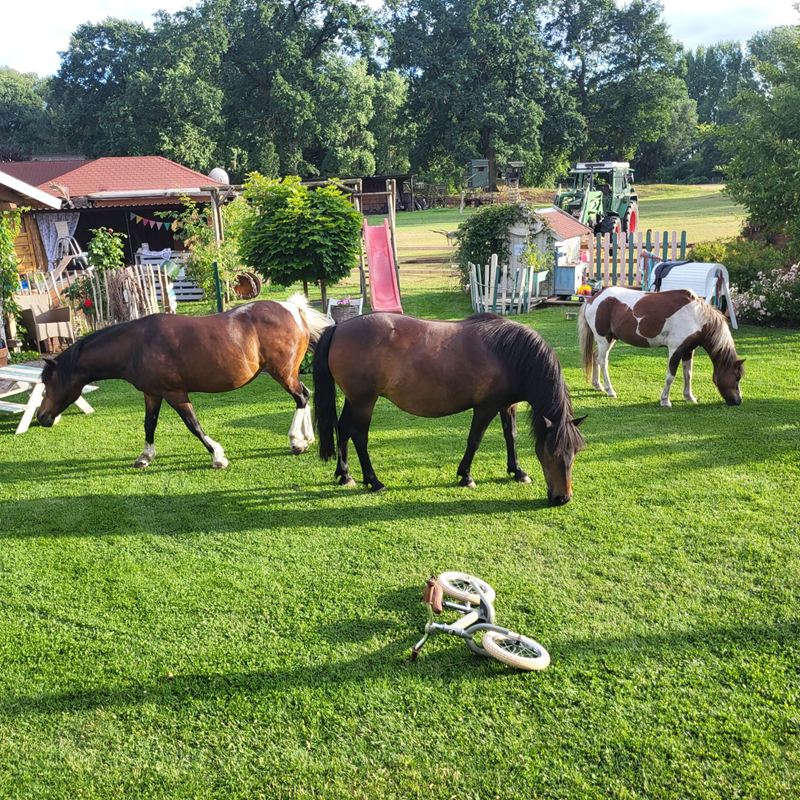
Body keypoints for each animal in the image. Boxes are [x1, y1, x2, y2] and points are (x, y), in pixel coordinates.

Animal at [36, 294, 331, 468]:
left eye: (49, 382)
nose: (41, 416)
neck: (137, 345)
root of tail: (293, 309)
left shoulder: (175, 393)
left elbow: (194, 425)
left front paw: (217, 456)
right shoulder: (153, 393)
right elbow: (149, 424)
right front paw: (145, 457)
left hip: (283, 373)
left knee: (301, 397)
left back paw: (296, 441)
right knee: (305, 396)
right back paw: (307, 438)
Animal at [312, 312, 585, 506]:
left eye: (574, 453)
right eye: (551, 453)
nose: (563, 498)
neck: (509, 353)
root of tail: (339, 328)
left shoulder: (507, 405)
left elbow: (511, 436)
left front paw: (517, 471)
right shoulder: (485, 407)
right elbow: (474, 440)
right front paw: (466, 476)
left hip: (354, 400)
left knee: (343, 429)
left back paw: (345, 475)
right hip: (364, 402)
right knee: (359, 435)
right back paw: (373, 480)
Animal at [578, 286, 744, 407]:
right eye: (736, 377)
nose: (738, 401)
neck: (695, 316)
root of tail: (593, 298)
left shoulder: (688, 350)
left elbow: (688, 374)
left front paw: (689, 397)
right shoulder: (675, 350)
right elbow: (671, 376)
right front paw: (665, 400)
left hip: (610, 339)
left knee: (595, 357)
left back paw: (598, 385)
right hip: (604, 339)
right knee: (602, 361)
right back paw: (610, 390)